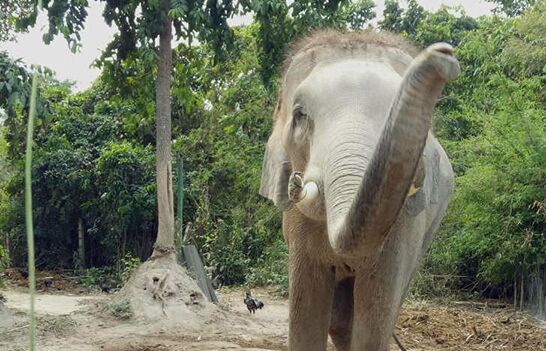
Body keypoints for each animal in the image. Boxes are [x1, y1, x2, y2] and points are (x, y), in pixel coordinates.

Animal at [258, 31, 456, 351]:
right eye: (300, 115)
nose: (444, 55)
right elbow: (306, 313)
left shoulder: (404, 225)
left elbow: (374, 319)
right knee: (340, 318)